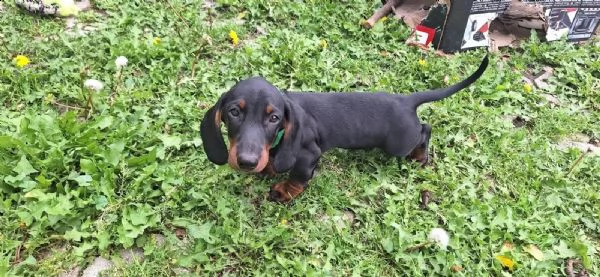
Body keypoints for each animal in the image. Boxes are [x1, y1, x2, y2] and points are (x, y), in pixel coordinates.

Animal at [200, 55, 488, 202]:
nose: (247, 162)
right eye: (234, 112)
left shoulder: (308, 154)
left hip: (399, 143)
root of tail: (406, 100)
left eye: (274, 118)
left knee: (425, 129)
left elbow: (297, 177)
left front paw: (284, 191)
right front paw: (268, 167)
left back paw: (420, 156)